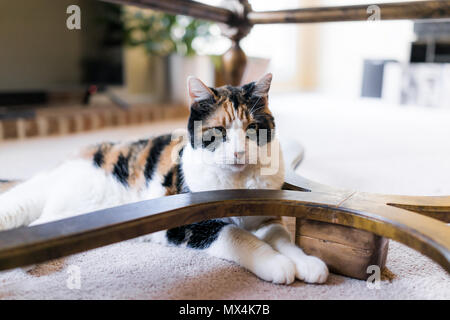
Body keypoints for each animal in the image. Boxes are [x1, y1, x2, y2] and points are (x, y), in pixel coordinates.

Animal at [0, 74, 328, 284]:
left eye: (251, 128)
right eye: (219, 131)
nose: (237, 152)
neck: (238, 184)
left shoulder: (268, 216)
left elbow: (281, 237)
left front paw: (306, 263)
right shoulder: (192, 224)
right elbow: (239, 236)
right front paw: (277, 264)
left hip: (67, 216)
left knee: (39, 225)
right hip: (34, 198)